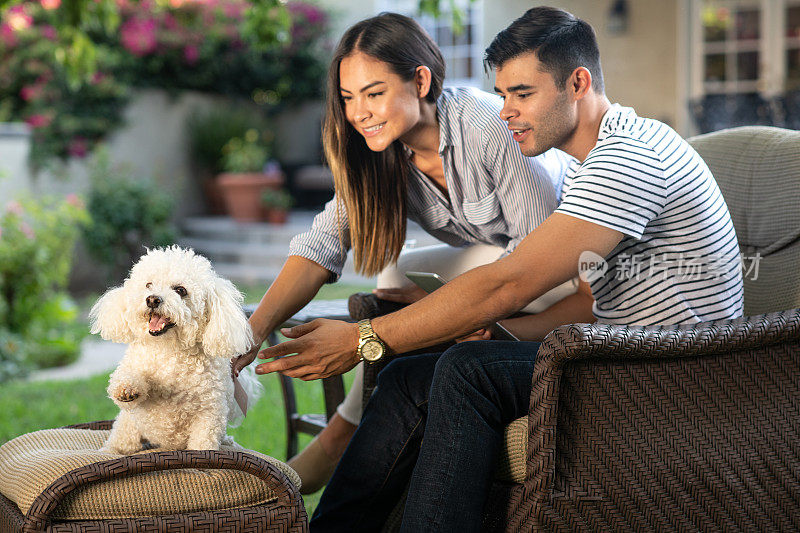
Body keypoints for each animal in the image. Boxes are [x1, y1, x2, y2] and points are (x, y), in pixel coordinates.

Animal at [91, 247, 260, 456]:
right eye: (148, 285)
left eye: (180, 290)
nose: (152, 299)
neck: (169, 351)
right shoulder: (134, 376)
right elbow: (126, 378)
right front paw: (127, 388)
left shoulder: (209, 413)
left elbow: (203, 444)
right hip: (128, 426)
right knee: (121, 442)